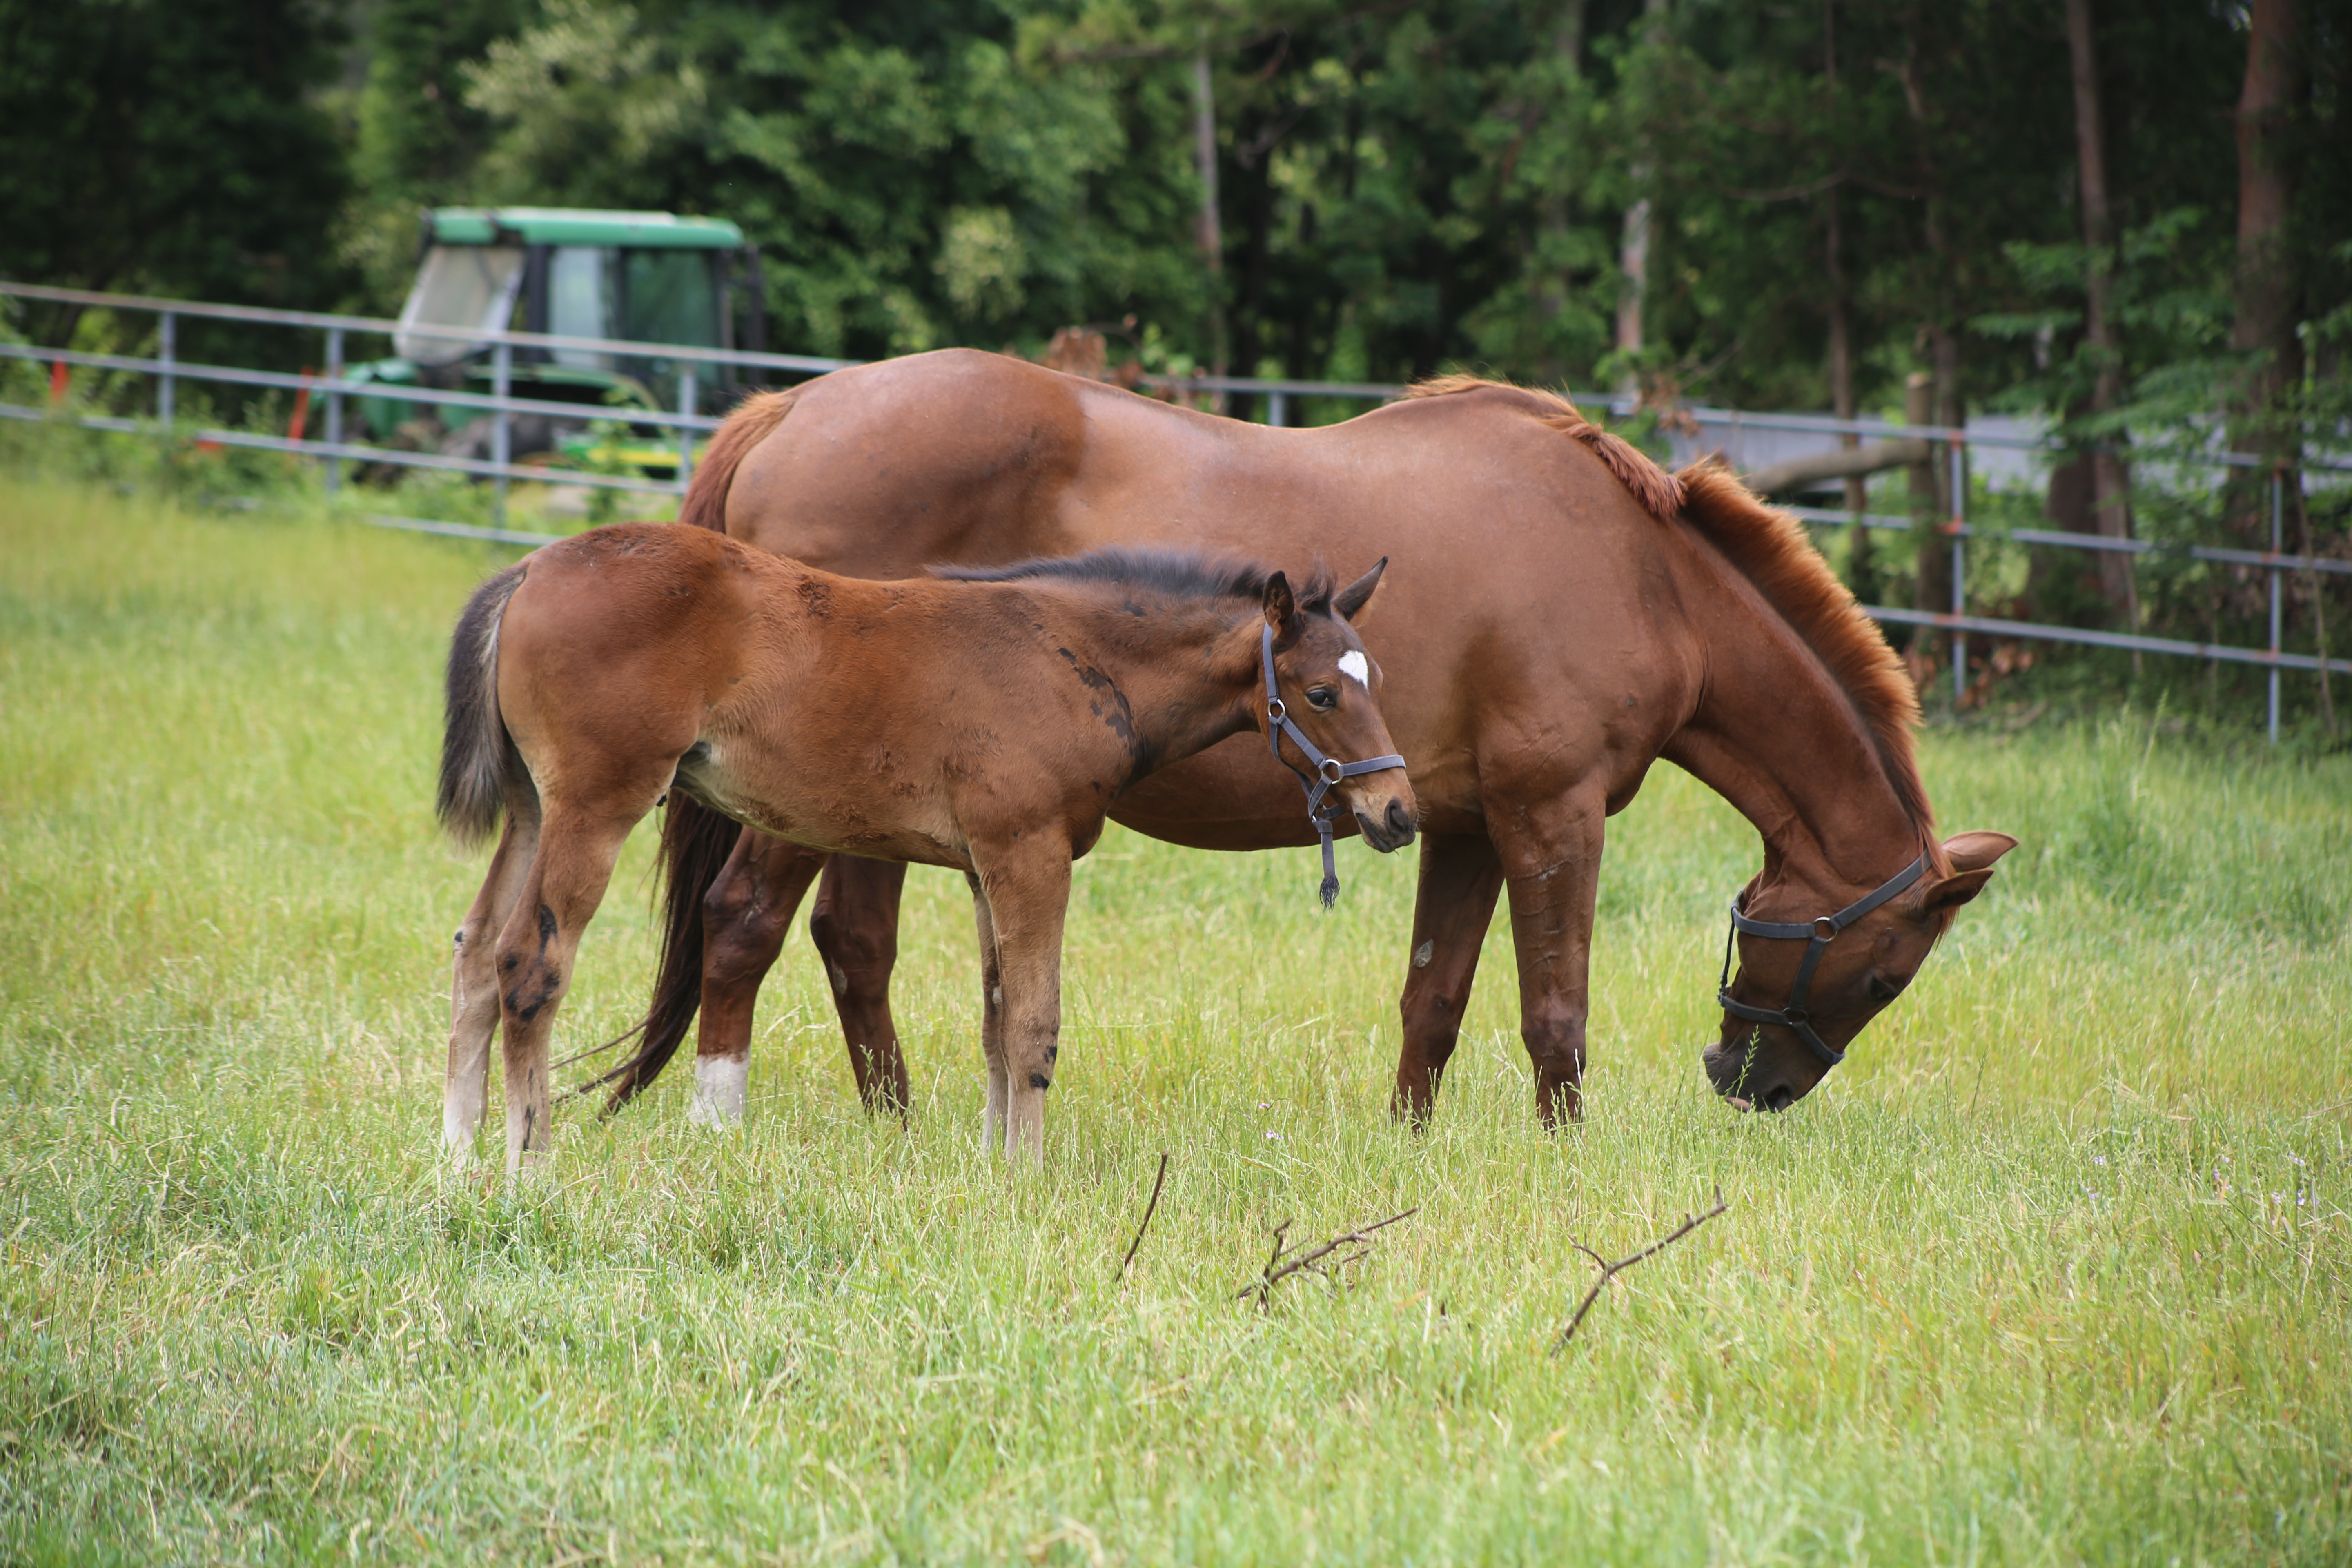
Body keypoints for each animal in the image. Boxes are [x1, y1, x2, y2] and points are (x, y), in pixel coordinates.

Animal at [444, 522, 1411, 1171]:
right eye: (1321, 694)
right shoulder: (1031, 854)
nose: (1399, 810)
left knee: (477, 952)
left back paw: (458, 1160)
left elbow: (994, 1020)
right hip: (595, 803)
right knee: (531, 962)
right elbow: (1034, 1024)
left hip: (532, 809)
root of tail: (529, 569)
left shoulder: (988, 867)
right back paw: (528, 1168)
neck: (1073, 655)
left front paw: (992, 1166)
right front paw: (1029, 1179)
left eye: (1375, 677)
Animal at [597, 350, 2013, 1123]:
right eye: (1885, 977)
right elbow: (1555, 1013)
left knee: (853, 945)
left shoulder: (1461, 823)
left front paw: (1408, 1150)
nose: (1749, 1081)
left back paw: (898, 1131)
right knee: (747, 927)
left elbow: (1434, 1002)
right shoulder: (1551, 817)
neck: (1639, 572)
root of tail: (793, 410)